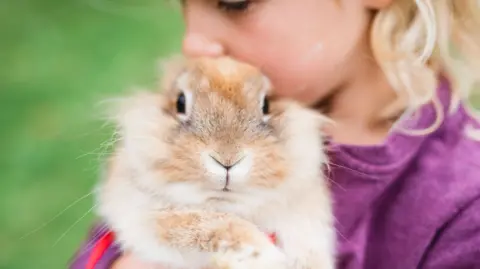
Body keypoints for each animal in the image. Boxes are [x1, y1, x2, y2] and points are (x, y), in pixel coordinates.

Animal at [93, 55, 334, 268]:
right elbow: (211, 224)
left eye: (266, 105)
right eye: (180, 102)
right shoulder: (151, 218)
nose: (227, 160)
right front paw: (261, 255)